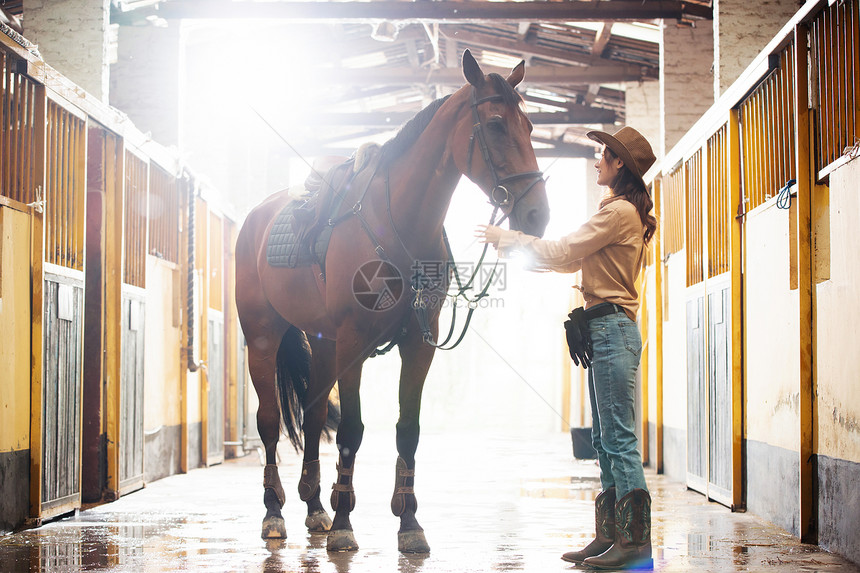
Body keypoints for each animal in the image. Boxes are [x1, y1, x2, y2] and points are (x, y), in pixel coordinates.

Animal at [232, 51, 548, 552]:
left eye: (531, 126)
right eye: (497, 125)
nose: (538, 214)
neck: (399, 219)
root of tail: (257, 220)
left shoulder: (419, 342)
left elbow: (407, 430)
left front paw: (409, 522)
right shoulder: (354, 342)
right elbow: (351, 431)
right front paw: (345, 522)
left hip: (322, 344)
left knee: (314, 412)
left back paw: (315, 507)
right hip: (264, 335)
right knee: (269, 422)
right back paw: (275, 513)